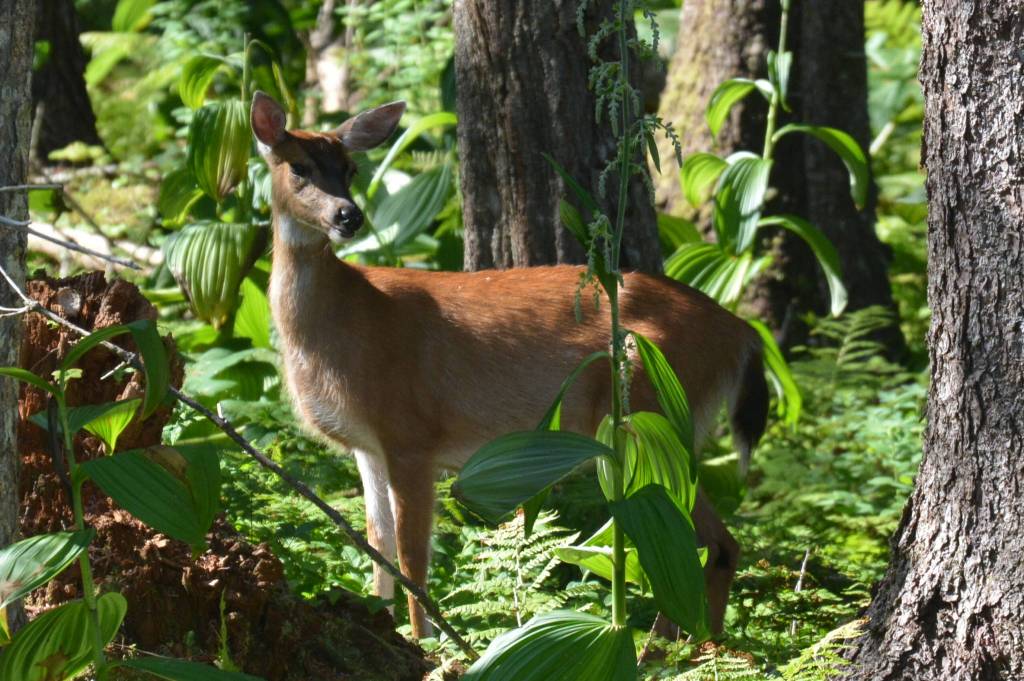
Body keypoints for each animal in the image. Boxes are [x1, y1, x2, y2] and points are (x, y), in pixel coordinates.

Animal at [250, 91, 768, 640]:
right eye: (299, 166)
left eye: (349, 168)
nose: (348, 216)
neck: (347, 322)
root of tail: (742, 333)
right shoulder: (368, 444)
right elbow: (377, 547)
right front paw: (383, 624)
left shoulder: (412, 431)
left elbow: (413, 557)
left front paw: (426, 643)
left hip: (655, 410)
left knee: (704, 542)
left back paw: (680, 647)